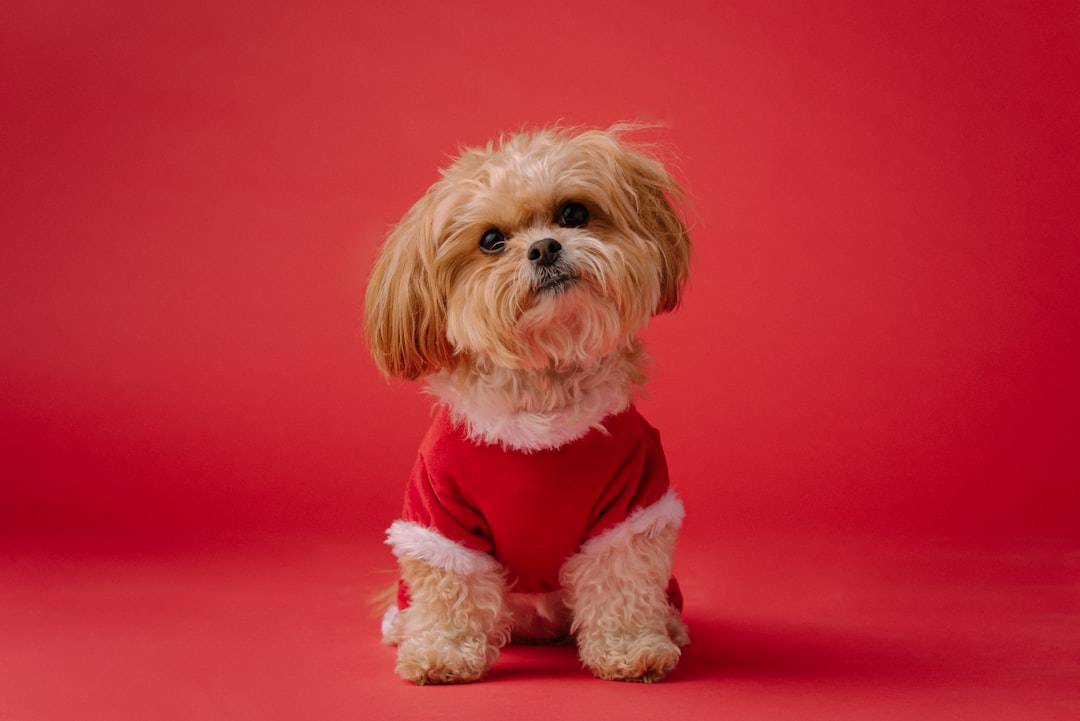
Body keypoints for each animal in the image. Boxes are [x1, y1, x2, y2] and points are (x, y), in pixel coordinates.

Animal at [365, 124, 691, 682]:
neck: (543, 400)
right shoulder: (438, 517)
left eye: (574, 213)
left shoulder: (633, 505)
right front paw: (442, 652)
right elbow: (450, 589)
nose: (543, 247)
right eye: (491, 241)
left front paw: (632, 648)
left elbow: (622, 581)